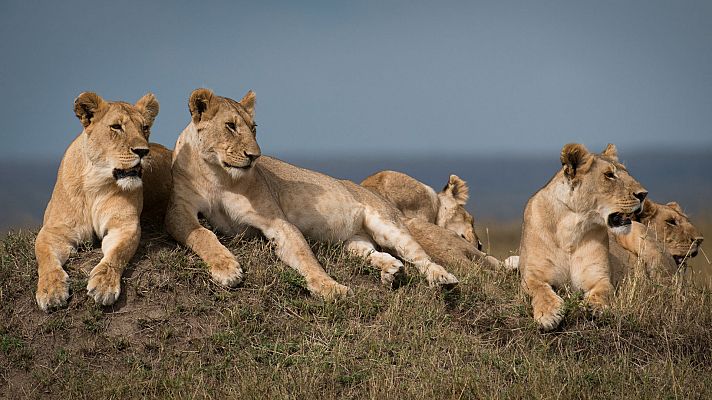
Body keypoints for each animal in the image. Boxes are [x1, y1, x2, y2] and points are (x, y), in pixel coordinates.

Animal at [35, 92, 172, 311]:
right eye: (116, 127)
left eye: (144, 127)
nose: (143, 151)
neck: (94, 181)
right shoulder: (54, 230)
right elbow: (45, 257)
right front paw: (51, 291)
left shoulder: (125, 226)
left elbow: (116, 254)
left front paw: (104, 285)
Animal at [165, 89, 459, 300]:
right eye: (230, 126)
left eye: (254, 127)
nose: (254, 156)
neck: (219, 175)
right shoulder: (178, 209)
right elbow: (202, 234)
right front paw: (225, 268)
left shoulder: (277, 222)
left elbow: (305, 257)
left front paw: (329, 288)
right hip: (352, 242)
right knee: (375, 253)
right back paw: (391, 272)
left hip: (387, 224)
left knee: (420, 256)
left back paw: (442, 278)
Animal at [518, 143, 647, 331]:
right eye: (609, 175)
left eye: (626, 172)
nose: (644, 194)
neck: (571, 227)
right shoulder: (532, 275)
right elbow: (540, 290)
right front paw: (548, 314)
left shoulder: (600, 277)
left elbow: (603, 292)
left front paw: (593, 307)